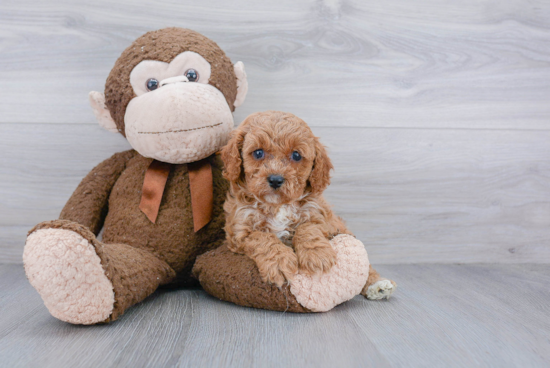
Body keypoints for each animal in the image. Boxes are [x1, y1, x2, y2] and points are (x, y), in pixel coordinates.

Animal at [220, 110, 396, 300]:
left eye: (296, 155)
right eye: (258, 153)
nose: (275, 179)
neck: (278, 205)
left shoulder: (319, 216)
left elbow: (308, 228)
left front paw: (316, 255)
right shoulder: (240, 231)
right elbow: (262, 238)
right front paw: (280, 261)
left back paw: (377, 284)